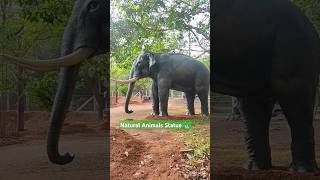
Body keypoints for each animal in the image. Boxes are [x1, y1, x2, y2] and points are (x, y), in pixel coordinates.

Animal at [212, 0, 320, 172]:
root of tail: (310, 25)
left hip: (293, 43)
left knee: (293, 94)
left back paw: (302, 171)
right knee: (254, 103)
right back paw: (256, 168)